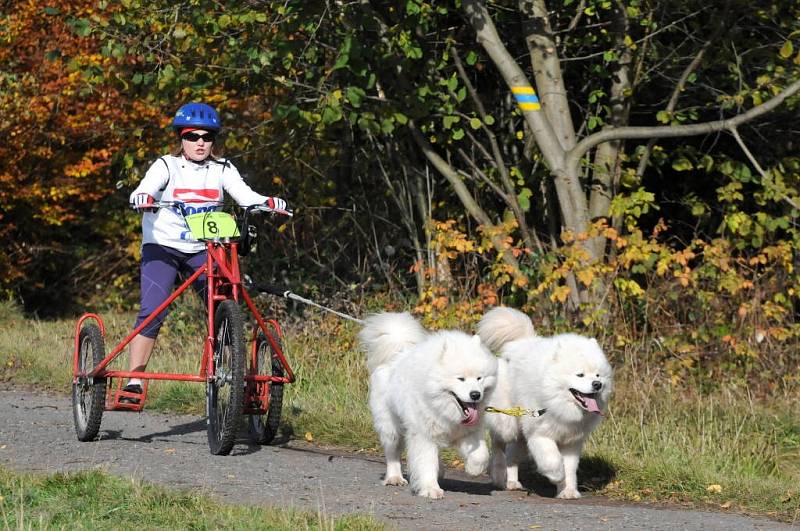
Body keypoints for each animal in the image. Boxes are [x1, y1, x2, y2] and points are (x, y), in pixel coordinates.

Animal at [360, 312, 496, 498]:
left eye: (479, 378)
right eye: (460, 379)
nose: (475, 394)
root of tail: (396, 352)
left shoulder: (468, 432)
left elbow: (482, 454)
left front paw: (473, 469)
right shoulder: (423, 435)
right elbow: (425, 462)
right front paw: (431, 488)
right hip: (391, 427)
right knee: (393, 453)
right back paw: (395, 477)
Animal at [478, 308, 616, 498]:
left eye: (598, 375)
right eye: (580, 375)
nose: (597, 384)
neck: (558, 403)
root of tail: (519, 343)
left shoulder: (572, 442)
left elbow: (570, 469)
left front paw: (568, 491)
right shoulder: (540, 434)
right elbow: (553, 460)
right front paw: (556, 477)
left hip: (521, 437)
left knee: (512, 456)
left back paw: (512, 483)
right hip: (509, 424)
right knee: (498, 444)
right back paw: (498, 475)